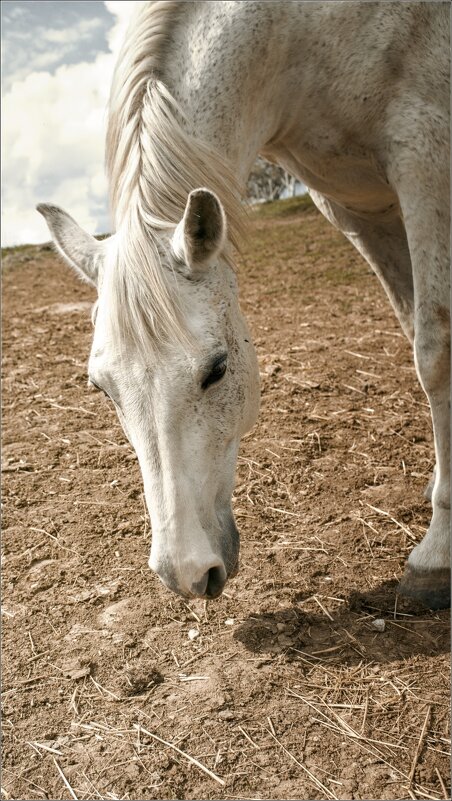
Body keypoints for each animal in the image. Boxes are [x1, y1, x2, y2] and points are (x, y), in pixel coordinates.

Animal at [37, 1, 450, 608]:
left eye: (217, 370)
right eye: (100, 388)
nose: (185, 572)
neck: (303, 35)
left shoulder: (426, 160)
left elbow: (435, 352)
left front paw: (436, 555)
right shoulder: (357, 205)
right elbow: (411, 323)